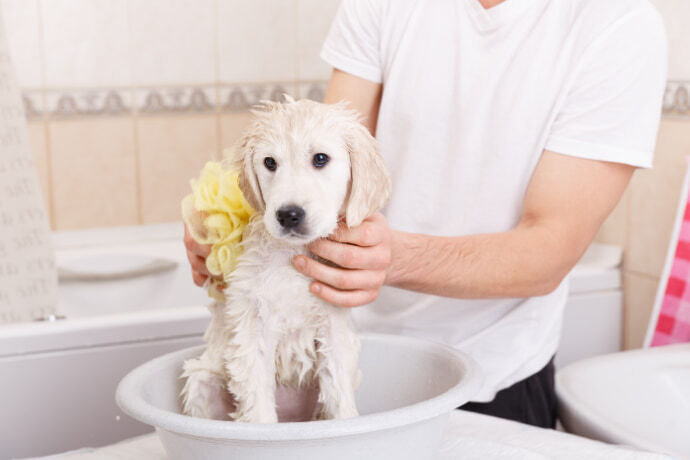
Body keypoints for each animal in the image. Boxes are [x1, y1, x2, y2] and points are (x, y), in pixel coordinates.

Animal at [180, 97, 390, 424]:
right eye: (270, 162)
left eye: (320, 159)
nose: (289, 214)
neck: (293, 256)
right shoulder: (253, 329)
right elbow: (258, 406)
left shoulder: (333, 328)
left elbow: (340, 395)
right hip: (203, 381)